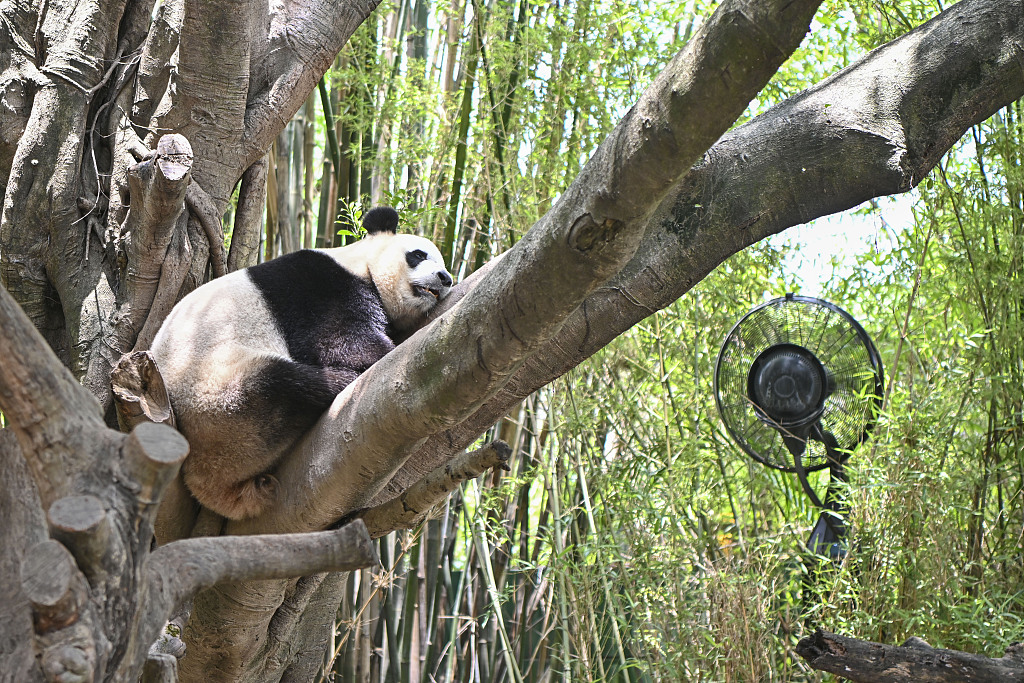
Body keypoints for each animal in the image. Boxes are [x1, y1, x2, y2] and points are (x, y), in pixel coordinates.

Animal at [149, 205, 452, 520]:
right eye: (418, 254)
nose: (445, 278)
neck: (360, 263)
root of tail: (205, 481)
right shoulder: (318, 288)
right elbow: (338, 341)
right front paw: (384, 351)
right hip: (220, 396)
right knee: (287, 385)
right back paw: (340, 381)